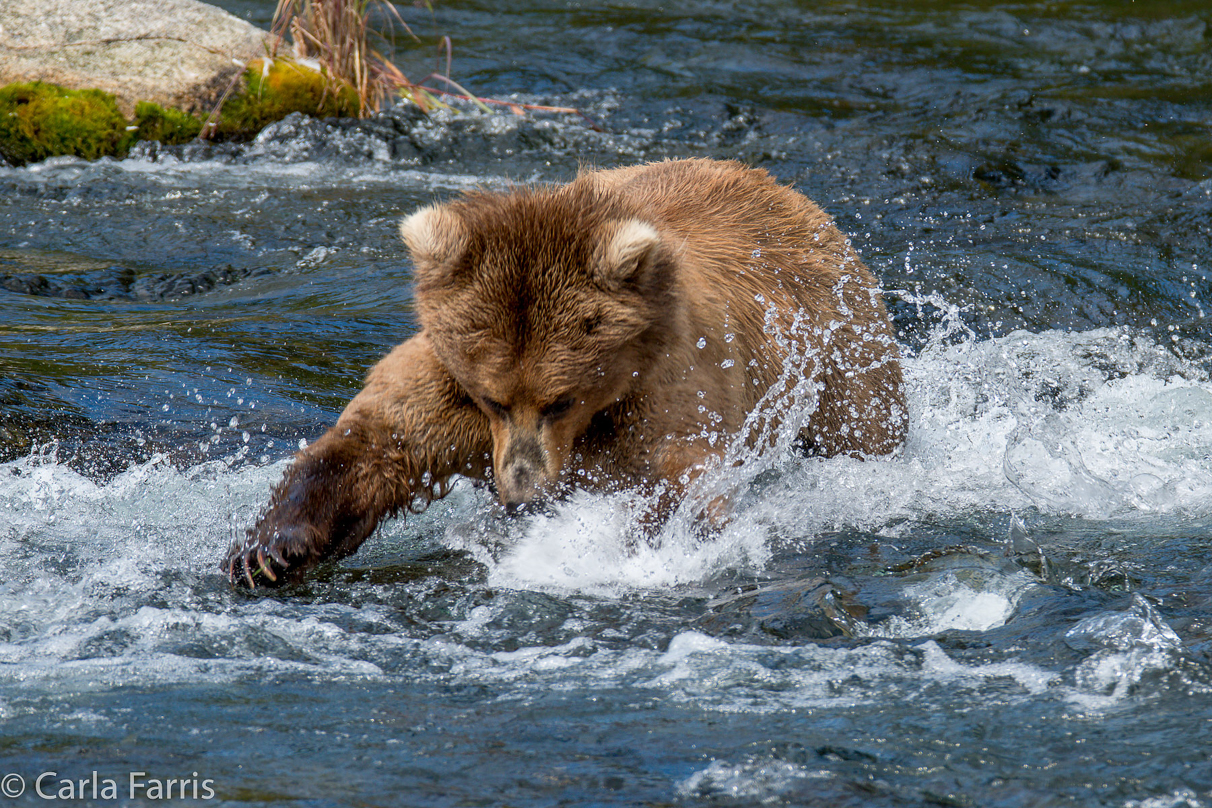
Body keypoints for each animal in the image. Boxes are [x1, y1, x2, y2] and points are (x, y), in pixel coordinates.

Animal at [225, 157, 911, 588]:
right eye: (492, 399)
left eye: (560, 399)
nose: (522, 491)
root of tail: (788, 192)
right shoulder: (448, 384)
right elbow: (377, 442)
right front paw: (267, 552)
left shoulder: (670, 385)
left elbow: (680, 477)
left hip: (840, 355)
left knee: (862, 429)